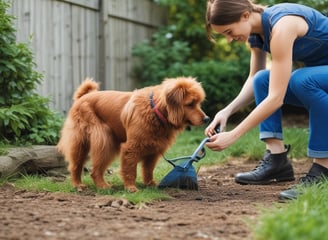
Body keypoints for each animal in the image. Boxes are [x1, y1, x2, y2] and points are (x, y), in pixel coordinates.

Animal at [57, 76, 209, 191]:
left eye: (198, 103)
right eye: (190, 104)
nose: (207, 119)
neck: (155, 111)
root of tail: (84, 96)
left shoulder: (154, 148)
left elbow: (148, 169)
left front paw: (150, 184)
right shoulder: (131, 147)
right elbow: (130, 170)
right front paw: (130, 187)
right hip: (99, 141)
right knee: (82, 167)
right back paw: (87, 185)